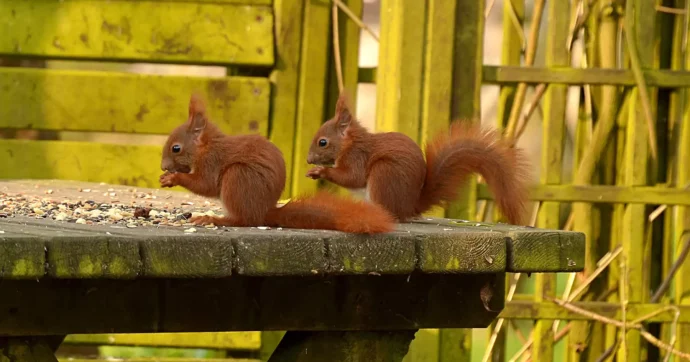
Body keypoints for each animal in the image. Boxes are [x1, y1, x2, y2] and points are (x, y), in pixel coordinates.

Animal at [157, 94, 392, 235]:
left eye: (176, 148)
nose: (163, 166)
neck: (205, 148)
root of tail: (264, 212)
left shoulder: (212, 162)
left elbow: (205, 185)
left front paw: (173, 178)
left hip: (237, 178)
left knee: (243, 220)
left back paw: (214, 219)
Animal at [306, 93, 528, 223]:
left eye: (323, 142)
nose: (308, 159)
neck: (349, 144)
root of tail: (408, 207)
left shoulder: (357, 157)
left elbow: (353, 178)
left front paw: (321, 171)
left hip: (384, 173)